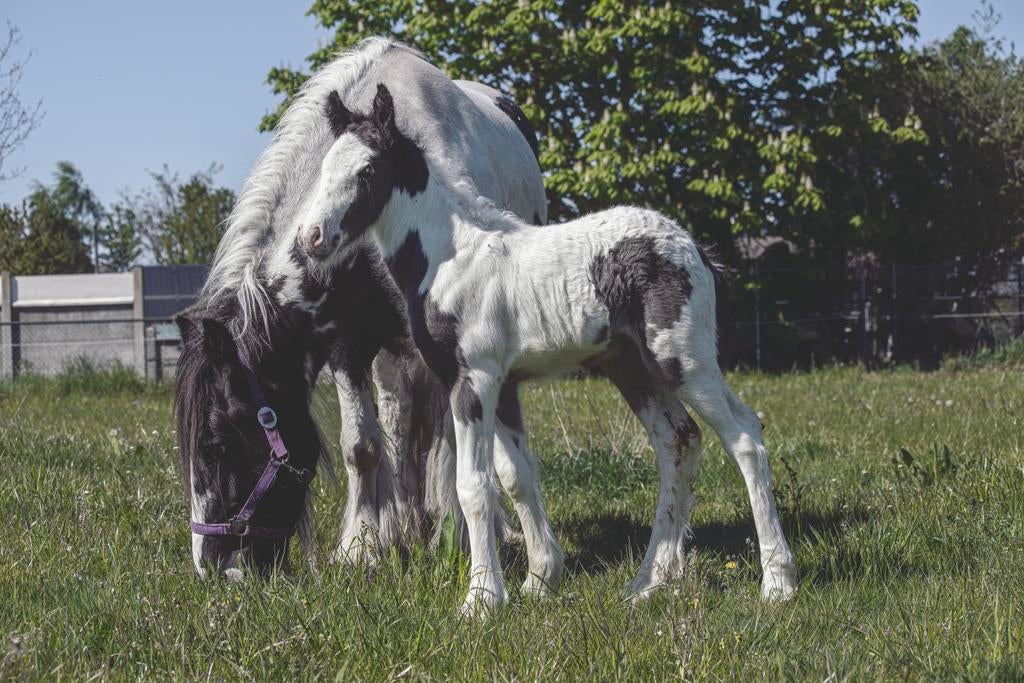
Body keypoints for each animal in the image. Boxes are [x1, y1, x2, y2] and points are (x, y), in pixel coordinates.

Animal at [176, 37, 547, 579]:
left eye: (218, 443)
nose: (212, 567)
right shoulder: (346, 346)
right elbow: (363, 445)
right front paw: (364, 547)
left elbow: (454, 448)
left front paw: (456, 539)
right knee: (398, 422)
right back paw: (407, 522)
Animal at [294, 83, 799, 613]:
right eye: (325, 167)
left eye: (368, 170)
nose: (312, 238)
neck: (451, 258)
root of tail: (693, 248)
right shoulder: (503, 385)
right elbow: (515, 474)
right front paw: (539, 581)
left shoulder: (473, 380)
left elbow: (474, 486)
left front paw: (480, 599)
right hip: (633, 369)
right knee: (678, 441)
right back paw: (649, 582)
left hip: (685, 360)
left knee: (744, 436)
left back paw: (777, 583)